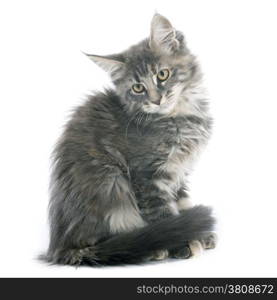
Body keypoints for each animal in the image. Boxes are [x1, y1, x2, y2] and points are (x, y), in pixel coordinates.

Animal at [42, 12, 217, 266]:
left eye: (162, 74)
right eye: (137, 88)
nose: (156, 100)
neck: (180, 115)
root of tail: (59, 246)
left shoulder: (179, 173)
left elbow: (182, 202)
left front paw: (199, 234)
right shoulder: (147, 176)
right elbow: (164, 213)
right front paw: (183, 243)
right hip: (111, 182)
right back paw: (152, 248)